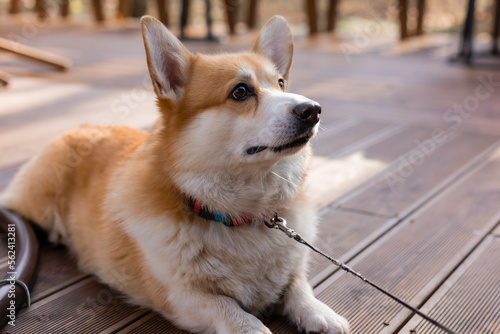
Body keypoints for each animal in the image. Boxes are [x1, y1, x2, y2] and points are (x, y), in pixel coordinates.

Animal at [0, 15, 350, 334]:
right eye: (240, 92)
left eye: (280, 84)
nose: (312, 110)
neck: (239, 215)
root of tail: (80, 127)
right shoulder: (181, 297)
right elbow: (233, 312)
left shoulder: (290, 270)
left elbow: (298, 286)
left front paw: (320, 314)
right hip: (37, 203)